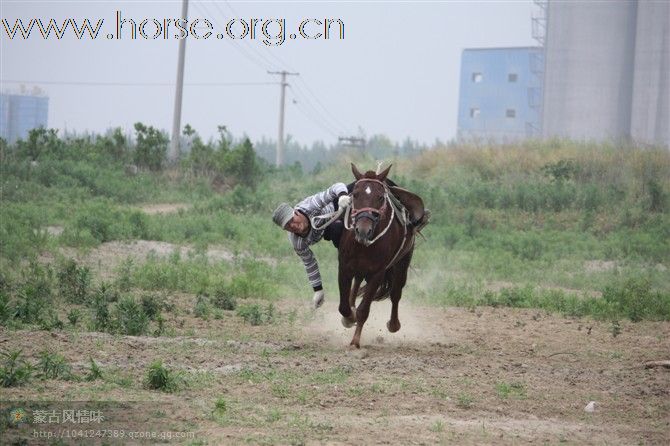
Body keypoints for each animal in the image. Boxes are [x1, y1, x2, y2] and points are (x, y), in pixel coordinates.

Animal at [338, 164, 418, 348]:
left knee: (396, 292)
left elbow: (364, 310)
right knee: (357, 283)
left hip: (403, 262)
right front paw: (349, 318)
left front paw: (355, 341)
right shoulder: (344, 266)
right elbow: (344, 306)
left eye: (380, 197)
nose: (363, 230)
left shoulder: (377, 273)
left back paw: (393, 324)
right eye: (355, 194)